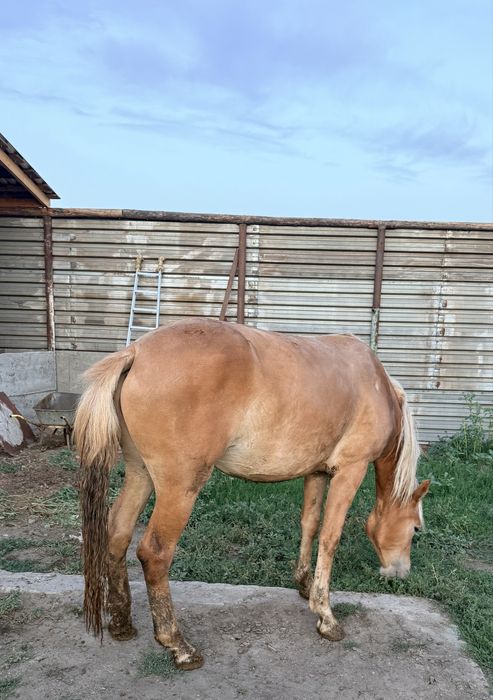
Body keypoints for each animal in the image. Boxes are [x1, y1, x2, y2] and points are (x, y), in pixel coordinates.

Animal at [74, 317, 429, 670]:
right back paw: (177, 644)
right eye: (415, 529)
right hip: (179, 488)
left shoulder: (316, 473)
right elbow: (330, 537)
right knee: (155, 553)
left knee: (117, 533)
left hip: (140, 474)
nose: (400, 572)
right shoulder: (350, 471)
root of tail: (135, 353)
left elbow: (310, 524)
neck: (375, 382)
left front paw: (304, 584)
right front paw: (326, 616)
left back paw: (121, 622)